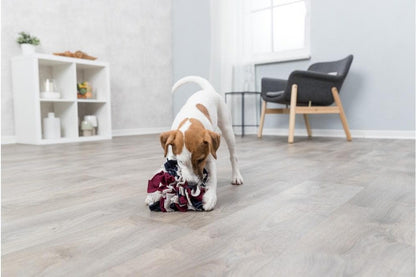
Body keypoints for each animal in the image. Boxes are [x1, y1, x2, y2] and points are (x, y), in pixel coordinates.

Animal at [159, 75, 244, 209]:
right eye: (181, 162)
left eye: (200, 160)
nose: (191, 184)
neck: (191, 120)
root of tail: (208, 90)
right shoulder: (172, 155)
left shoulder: (210, 157)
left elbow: (212, 178)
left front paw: (210, 198)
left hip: (227, 129)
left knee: (233, 156)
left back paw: (236, 176)